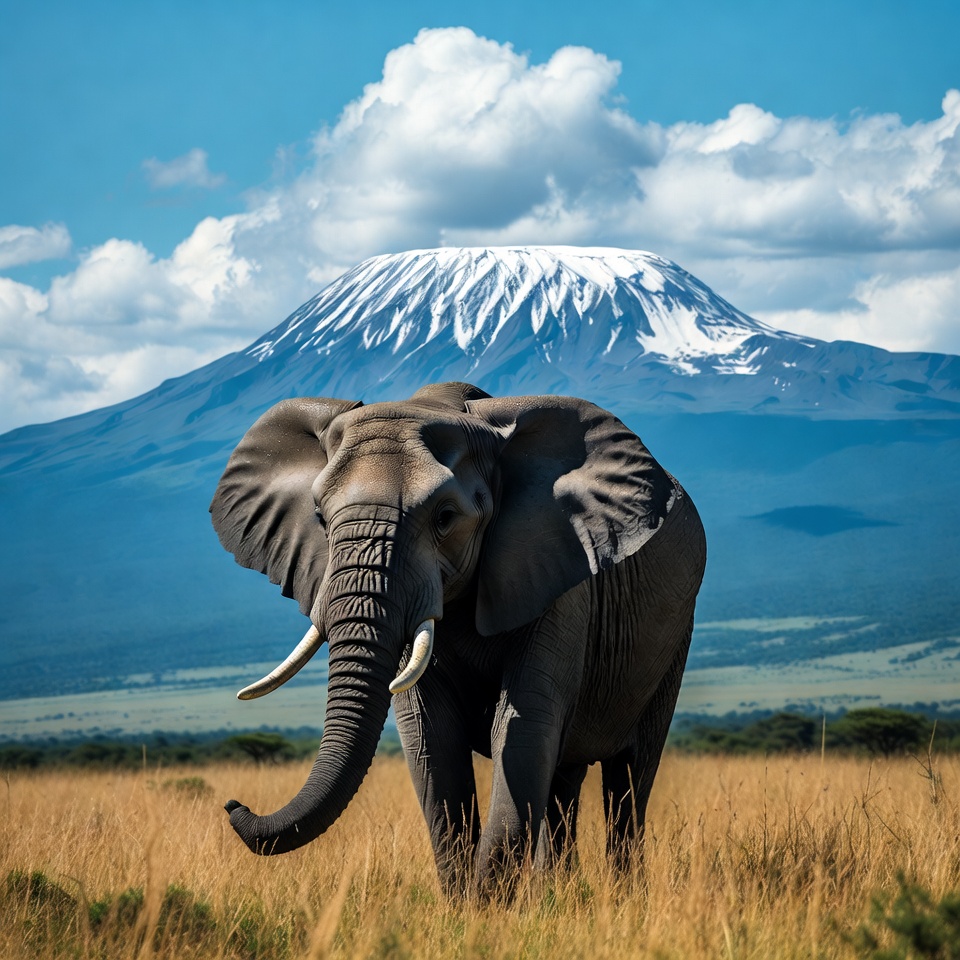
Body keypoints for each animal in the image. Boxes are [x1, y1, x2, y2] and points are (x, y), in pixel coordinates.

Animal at [210, 381, 706, 895]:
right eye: (321, 519)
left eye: (445, 517)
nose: (233, 805)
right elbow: (432, 739)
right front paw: (466, 904)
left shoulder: (559, 575)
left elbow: (522, 730)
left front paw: (487, 903)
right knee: (563, 780)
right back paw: (559, 892)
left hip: (676, 635)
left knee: (630, 775)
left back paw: (622, 894)